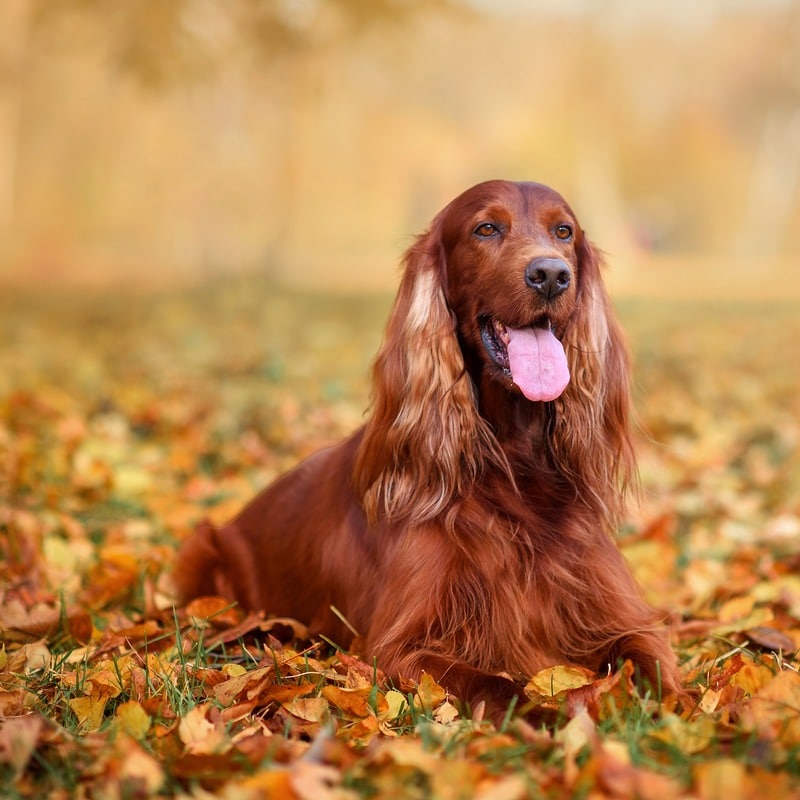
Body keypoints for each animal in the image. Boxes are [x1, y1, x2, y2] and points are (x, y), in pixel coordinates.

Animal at [173, 178, 676, 716]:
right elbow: (497, 685)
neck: (514, 460)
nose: (551, 275)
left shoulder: (607, 612)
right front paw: (548, 720)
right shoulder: (400, 647)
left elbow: (651, 658)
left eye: (564, 231)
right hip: (205, 552)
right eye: (486, 228)